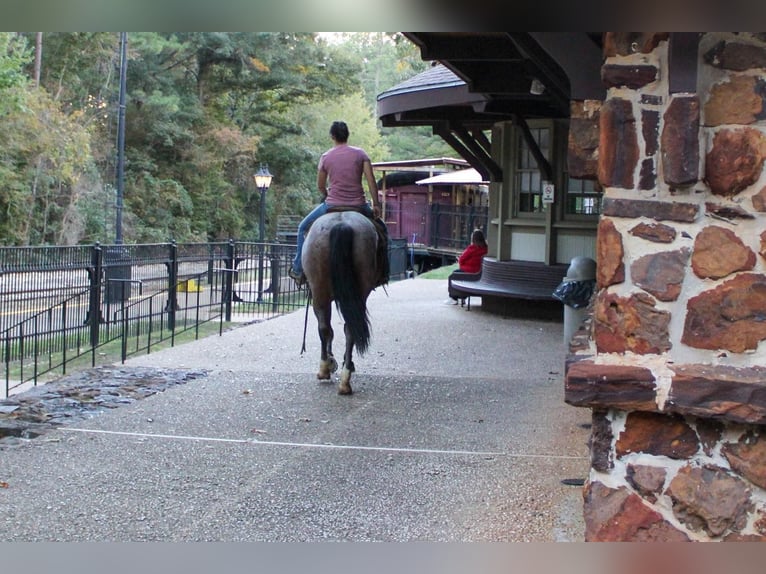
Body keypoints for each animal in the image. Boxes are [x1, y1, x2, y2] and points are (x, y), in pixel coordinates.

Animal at [304, 212, 380, 396]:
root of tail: (341, 224)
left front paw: (331, 362)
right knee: (347, 328)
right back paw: (345, 378)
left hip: (319, 290)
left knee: (326, 328)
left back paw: (327, 370)